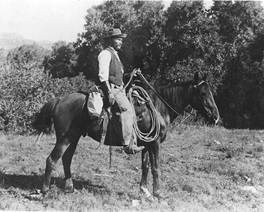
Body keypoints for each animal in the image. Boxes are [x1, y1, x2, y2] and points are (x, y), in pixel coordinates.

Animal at [32, 71, 219, 199]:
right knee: (52, 159)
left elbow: (145, 166)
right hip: (65, 138)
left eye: (210, 92)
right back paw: (45, 191)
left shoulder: (146, 143)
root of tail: (59, 100)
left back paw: (69, 187)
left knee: (66, 159)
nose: (216, 117)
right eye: (203, 93)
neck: (159, 108)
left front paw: (143, 190)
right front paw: (158, 193)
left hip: (74, 137)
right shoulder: (155, 143)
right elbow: (156, 167)